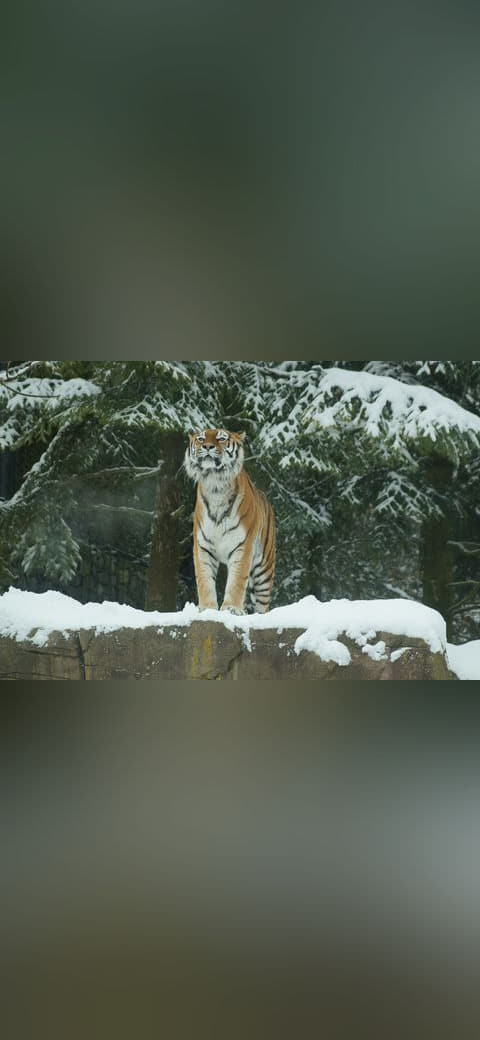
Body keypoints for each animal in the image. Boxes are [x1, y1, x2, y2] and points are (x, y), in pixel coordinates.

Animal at [184, 428, 276, 615]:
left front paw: (231, 608)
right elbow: (204, 580)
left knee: (262, 604)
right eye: (201, 438)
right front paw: (207, 608)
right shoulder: (202, 546)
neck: (215, 487)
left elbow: (237, 581)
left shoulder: (243, 545)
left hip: (263, 569)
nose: (208, 446)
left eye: (221, 438)